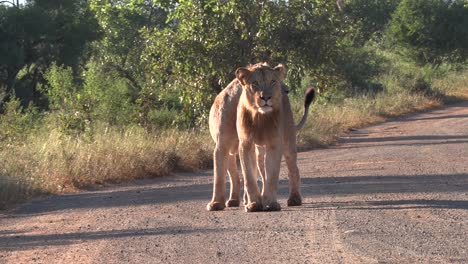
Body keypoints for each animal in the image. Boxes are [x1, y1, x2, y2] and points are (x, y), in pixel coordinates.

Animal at [207, 63, 314, 212]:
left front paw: (270, 203)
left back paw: (293, 198)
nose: (286, 90)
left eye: (273, 81)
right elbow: (221, 176)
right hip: (247, 151)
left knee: (292, 170)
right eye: (255, 83)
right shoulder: (224, 146)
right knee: (238, 175)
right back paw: (238, 200)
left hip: (287, 143)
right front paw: (216, 203)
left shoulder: (274, 143)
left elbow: (271, 176)